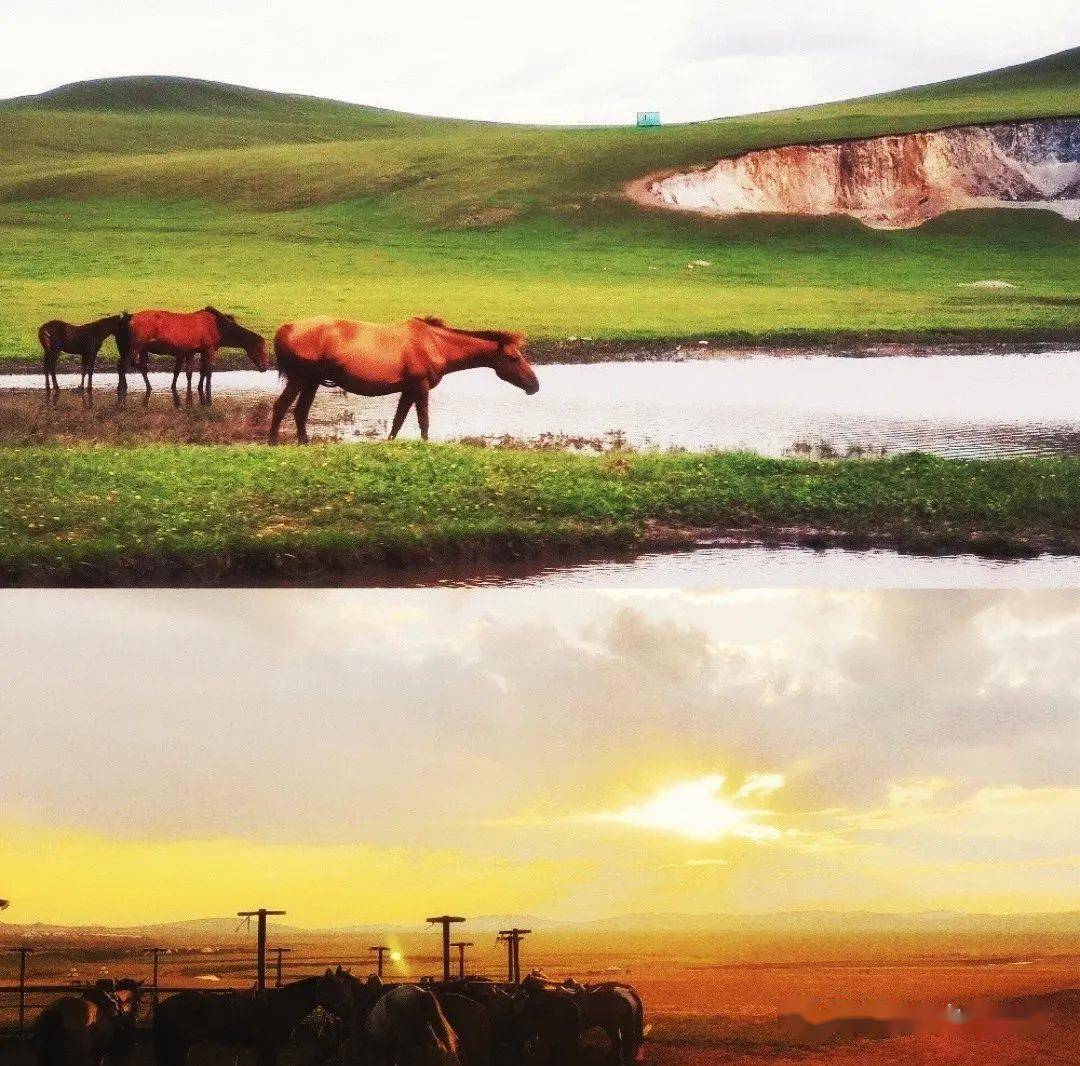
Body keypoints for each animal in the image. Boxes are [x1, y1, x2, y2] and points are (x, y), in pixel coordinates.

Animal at [124, 308, 270, 399]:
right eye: (261, 349)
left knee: (141, 367)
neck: (220, 329)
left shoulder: (192, 351)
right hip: (137, 345)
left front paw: (196, 389)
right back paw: (124, 387)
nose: (265, 367)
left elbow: (192, 373)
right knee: (124, 366)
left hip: (143, 349)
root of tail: (131, 319)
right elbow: (208, 372)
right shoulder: (209, 349)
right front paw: (206, 390)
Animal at [270, 315, 540, 444]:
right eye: (514, 357)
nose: (534, 385)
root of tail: (287, 327)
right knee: (281, 407)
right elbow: (423, 422)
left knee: (300, 412)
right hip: (300, 378)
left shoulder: (408, 389)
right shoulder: (420, 387)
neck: (435, 344)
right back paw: (272, 442)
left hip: (312, 382)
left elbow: (398, 422)